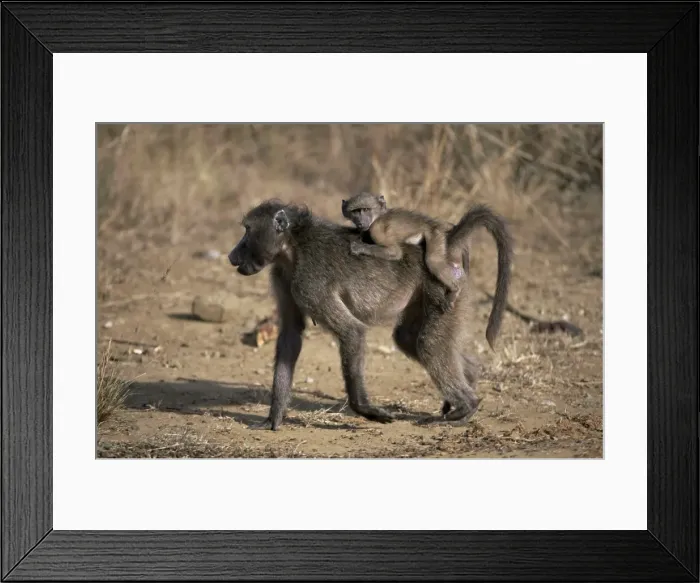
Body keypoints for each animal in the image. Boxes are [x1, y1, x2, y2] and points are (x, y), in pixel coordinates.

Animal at [228, 198, 513, 430]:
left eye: (247, 230)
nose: (232, 256)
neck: (293, 246)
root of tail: (448, 247)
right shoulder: (283, 276)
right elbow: (290, 335)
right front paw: (273, 418)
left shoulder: (309, 282)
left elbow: (351, 331)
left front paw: (367, 411)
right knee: (409, 339)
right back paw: (469, 382)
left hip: (445, 290)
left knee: (428, 344)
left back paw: (467, 405)